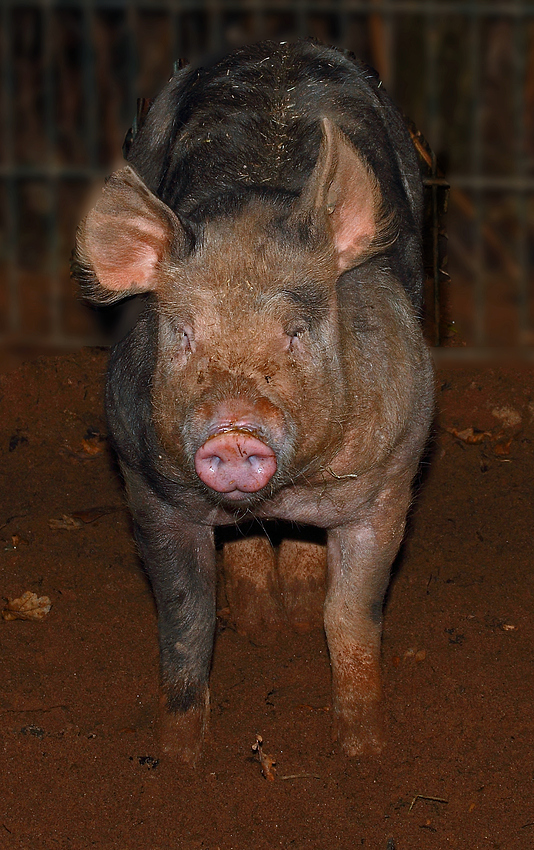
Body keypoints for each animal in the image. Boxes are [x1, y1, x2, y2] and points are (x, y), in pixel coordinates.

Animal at [74, 39, 436, 760]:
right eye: (183, 333)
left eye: (295, 331)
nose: (235, 429)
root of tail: (276, 44)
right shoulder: (146, 485)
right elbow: (186, 620)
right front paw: (179, 757)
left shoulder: (392, 480)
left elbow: (351, 616)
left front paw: (364, 751)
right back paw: (263, 623)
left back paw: (289, 615)